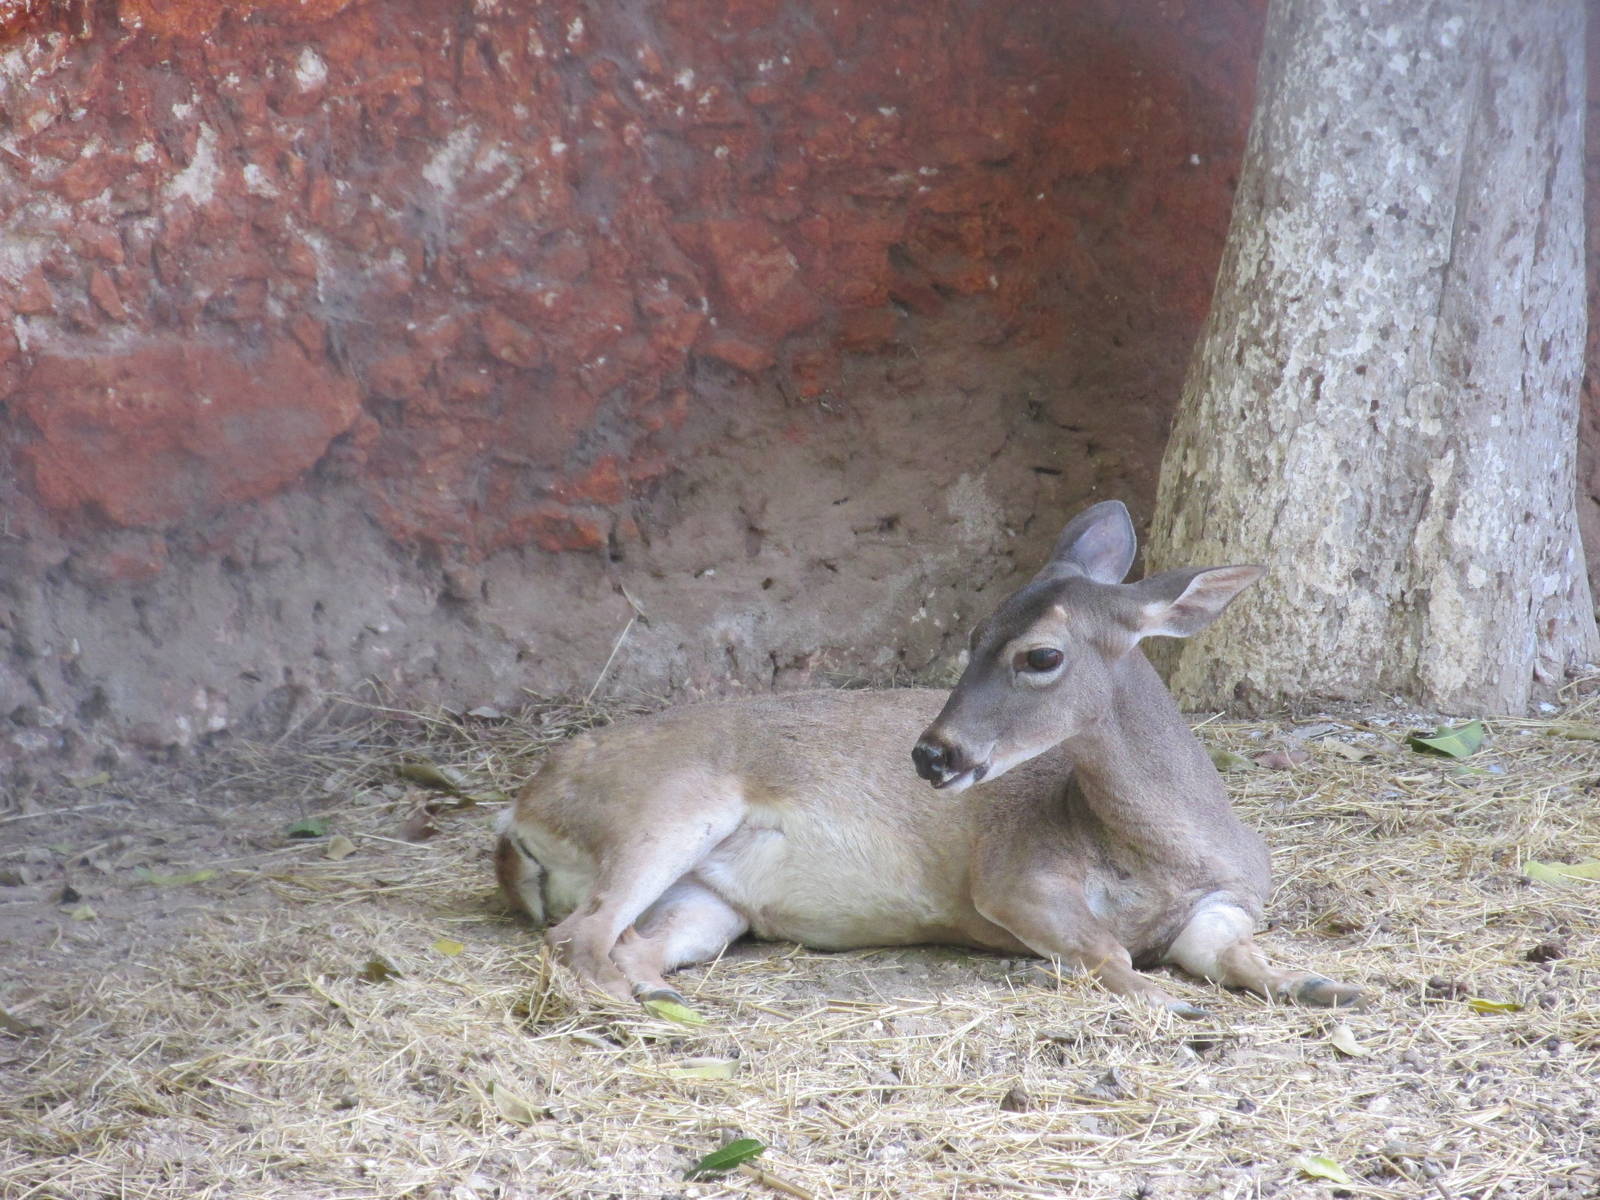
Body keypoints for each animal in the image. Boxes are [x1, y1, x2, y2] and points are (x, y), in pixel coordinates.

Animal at [495, 500, 1362, 1017]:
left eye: (1040, 655)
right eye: (970, 636)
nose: (932, 754)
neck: (1163, 852)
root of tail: (519, 814)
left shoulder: (1233, 897)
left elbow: (1234, 953)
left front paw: (1318, 982)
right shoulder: (1011, 874)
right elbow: (1103, 948)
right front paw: (1167, 1001)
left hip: (712, 900)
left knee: (630, 940)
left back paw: (660, 995)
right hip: (662, 806)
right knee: (577, 933)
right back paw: (638, 1010)